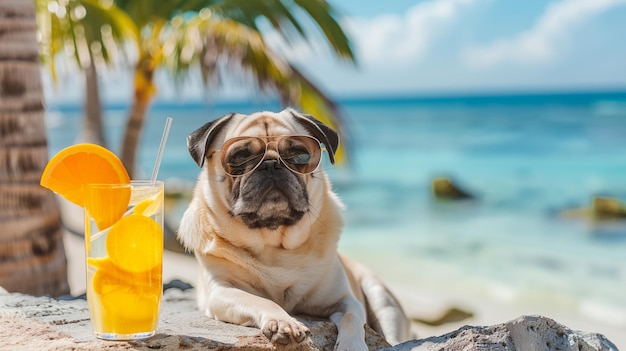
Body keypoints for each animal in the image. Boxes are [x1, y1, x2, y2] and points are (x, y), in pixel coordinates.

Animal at [177, 108, 410, 350]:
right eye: (239, 157)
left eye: (299, 155)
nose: (271, 163)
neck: (274, 244)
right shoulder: (221, 290)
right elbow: (261, 300)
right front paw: (283, 322)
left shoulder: (346, 300)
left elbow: (352, 318)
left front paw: (351, 345)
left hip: (382, 298)